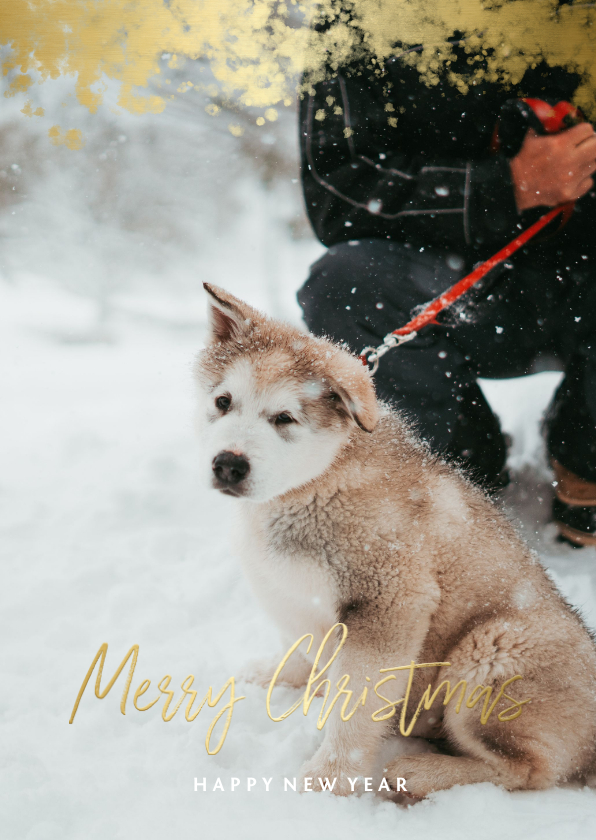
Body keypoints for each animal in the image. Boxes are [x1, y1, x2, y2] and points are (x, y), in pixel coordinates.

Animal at [196, 282, 596, 796]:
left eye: (284, 418)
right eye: (223, 402)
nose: (228, 464)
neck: (318, 483)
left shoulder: (392, 600)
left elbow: (353, 707)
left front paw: (327, 780)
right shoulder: (293, 594)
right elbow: (302, 649)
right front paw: (278, 676)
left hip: (494, 647)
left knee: (529, 769)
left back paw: (420, 774)